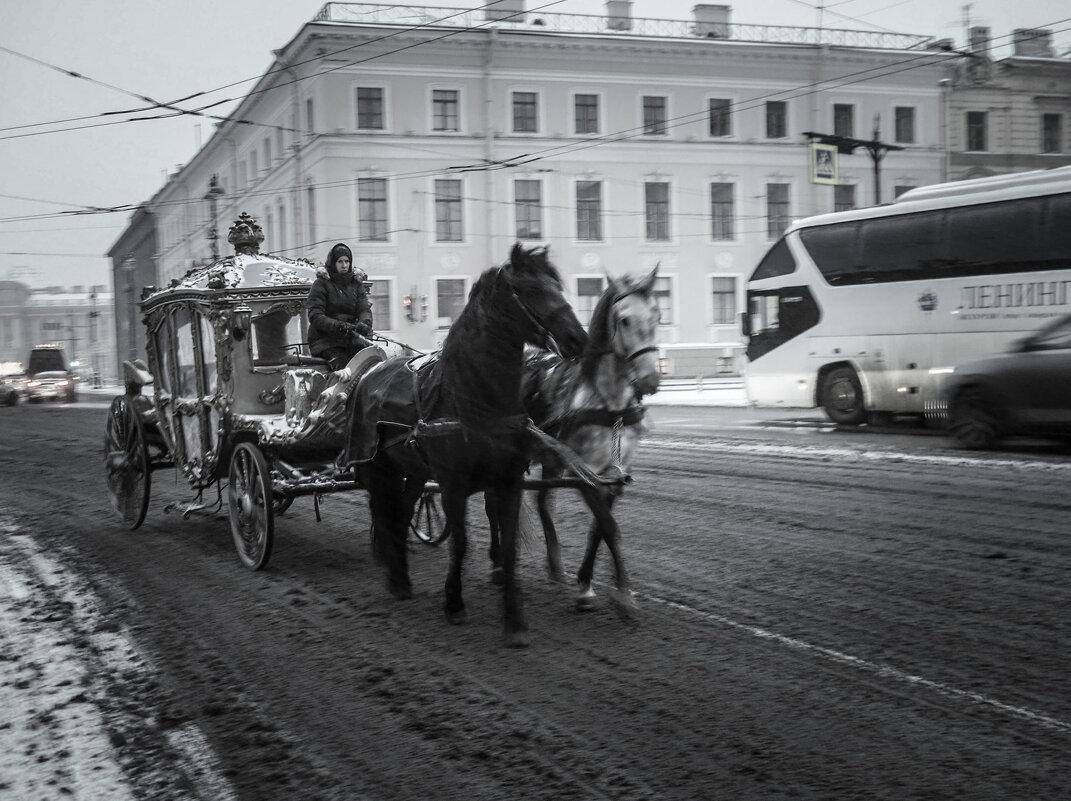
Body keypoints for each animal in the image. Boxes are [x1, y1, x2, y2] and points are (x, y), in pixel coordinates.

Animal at [344, 242, 586, 642]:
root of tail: (370, 372)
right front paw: (454, 604)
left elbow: (508, 546)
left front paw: (514, 620)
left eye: (558, 285)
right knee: (385, 513)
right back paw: (395, 578)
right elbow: (460, 542)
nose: (578, 338)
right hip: (379, 468)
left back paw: (403, 578)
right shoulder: (452, 485)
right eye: (531, 289)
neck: (473, 398)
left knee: (402, 513)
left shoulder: (508, 481)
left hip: (413, 472)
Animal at [488, 268, 659, 612]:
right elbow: (609, 526)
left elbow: (598, 529)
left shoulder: (614, 474)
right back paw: (499, 565)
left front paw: (586, 582)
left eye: (656, 314)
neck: (609, 406)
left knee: (542, 503)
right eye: (624, 320)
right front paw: (620, 592)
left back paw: (554, 565)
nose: (650, 380)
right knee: (493, 504)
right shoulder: (585, 473)